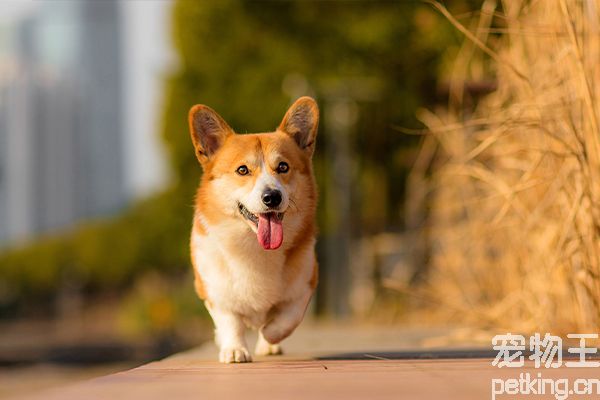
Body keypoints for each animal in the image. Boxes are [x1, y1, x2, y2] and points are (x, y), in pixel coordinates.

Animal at [188, 96, 318, 362]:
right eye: (242, 170)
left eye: (283, 167)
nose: (272, 197)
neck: (254, 246)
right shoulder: (213, 291)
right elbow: (230, 322)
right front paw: (234, 350)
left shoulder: (306, 284)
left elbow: (287, 319)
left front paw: (269, 336)